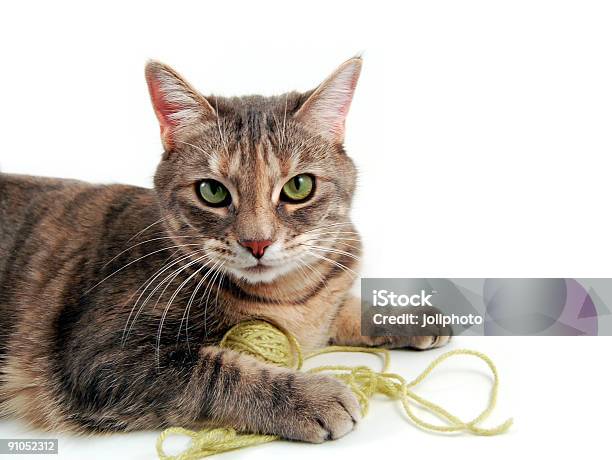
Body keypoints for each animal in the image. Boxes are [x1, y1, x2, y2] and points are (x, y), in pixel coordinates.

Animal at [0, 57, 450, 442]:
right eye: (212, 192)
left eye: (298, 186)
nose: (257, 242)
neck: (290, 297)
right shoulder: (103, 356)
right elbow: (219, 373)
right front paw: (312, 396)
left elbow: (345, 307)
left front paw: (411, 314)